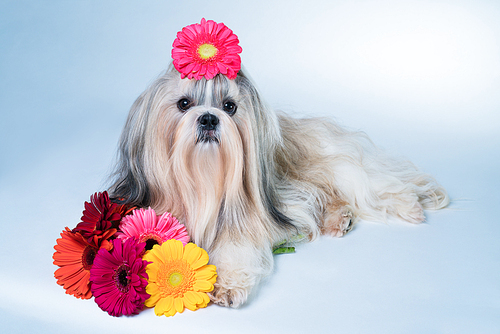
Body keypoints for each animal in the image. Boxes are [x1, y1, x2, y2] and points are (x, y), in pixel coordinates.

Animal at [106, 19, 450, 308]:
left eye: (229, 107)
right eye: (184, 104)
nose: (208, 118)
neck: (204, 181)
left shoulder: (247, 221)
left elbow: (236, 247)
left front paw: (227, 284)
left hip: (335, 165)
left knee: (375, 186)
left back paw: (409, 206)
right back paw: (339, 219)